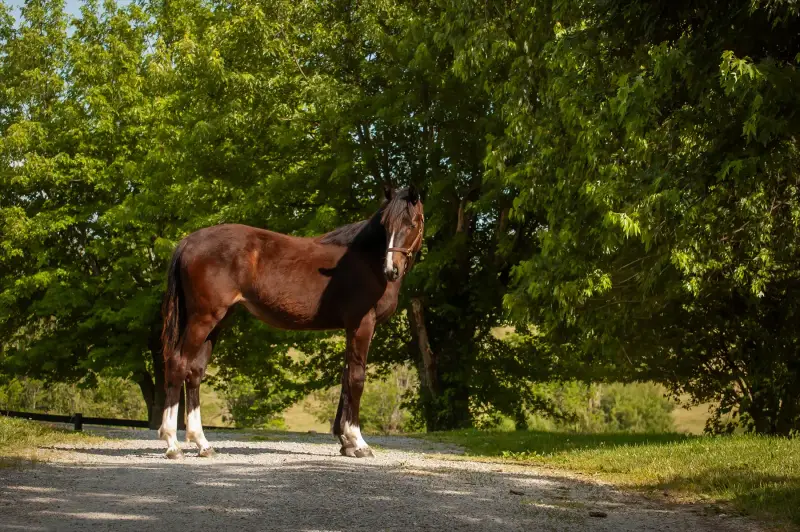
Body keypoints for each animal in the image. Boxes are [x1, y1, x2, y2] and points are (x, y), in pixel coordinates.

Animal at [158, 186, 424, 459]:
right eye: (385, 225)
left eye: (412, 223)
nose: (391, 269)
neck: (365, 260)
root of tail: (188, 241)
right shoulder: (362, 325)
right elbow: (356, 379)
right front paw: (358, 442)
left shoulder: (350, 329)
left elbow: (345, 378)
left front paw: (345, 442)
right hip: (203, 319)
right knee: (178, 364)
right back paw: (172, 444)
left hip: (217, 321)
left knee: (195, 372)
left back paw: (203, 443)